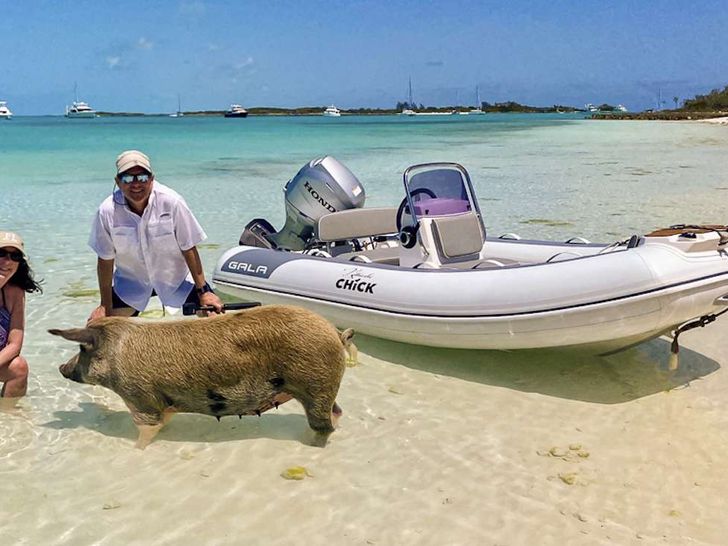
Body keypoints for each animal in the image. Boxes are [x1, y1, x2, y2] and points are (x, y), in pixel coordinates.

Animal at [49, 304, 356, 448]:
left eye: (82, 348)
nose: (62, 367)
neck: (116, 352)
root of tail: (336, 333)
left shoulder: (140, 398)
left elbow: (146, 430)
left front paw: (136, 450)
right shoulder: (163, 403)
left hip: (316, 385)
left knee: (324, 425)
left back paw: (312, 444)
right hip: (322, 389)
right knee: (337, 412)